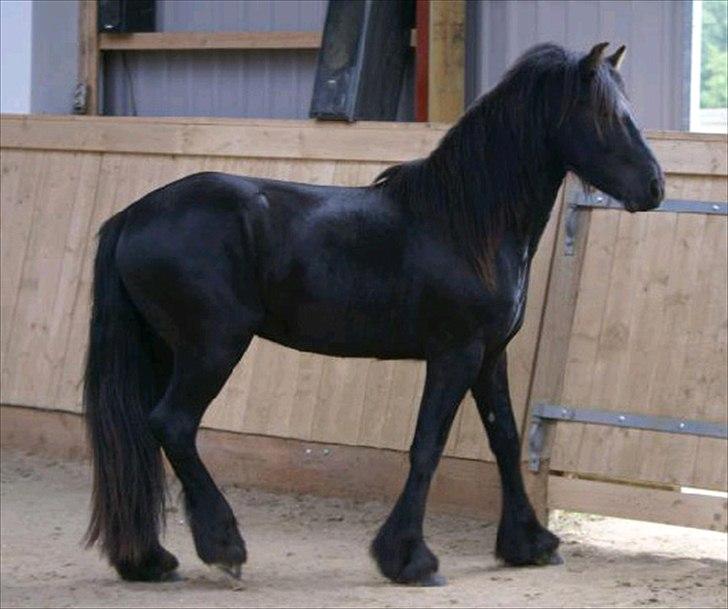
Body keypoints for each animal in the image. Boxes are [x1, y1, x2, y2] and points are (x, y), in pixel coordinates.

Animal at [83, 42, 664, 585]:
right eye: (608, 116)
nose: (656, 187)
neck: (464, 224)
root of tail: (132, 215)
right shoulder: (455, 354)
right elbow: (427, 446)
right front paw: (409, 558)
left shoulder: (490, 355)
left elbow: (505, 439)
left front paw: (530, 543)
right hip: (213, 348)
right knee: (173, 424)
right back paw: (223, 546)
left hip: (166, 349)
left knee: (146, 432)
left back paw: (150, 559)